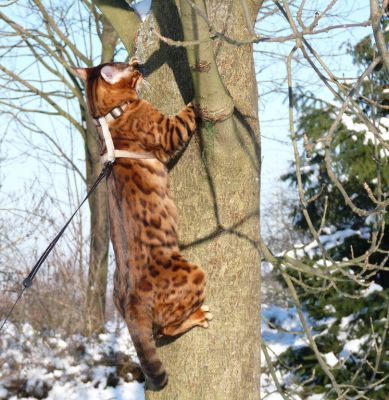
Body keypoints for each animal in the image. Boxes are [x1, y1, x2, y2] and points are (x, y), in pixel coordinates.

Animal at [73, 59, 212, 390]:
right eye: (129, 67)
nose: (138, 63)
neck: (108, 118)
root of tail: (130, 302)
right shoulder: (168, 132)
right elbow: (186, 115)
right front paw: (197, 99)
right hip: (195, 274)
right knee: (165, 329)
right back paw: (199, 316)